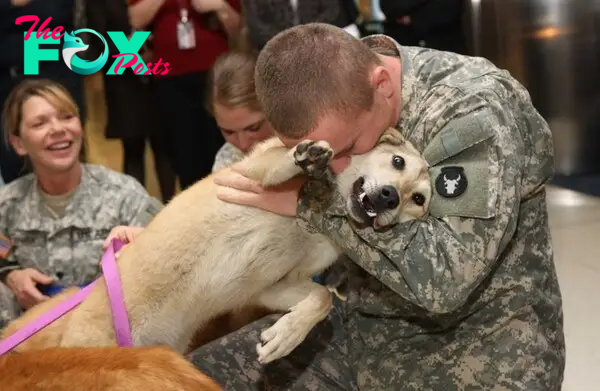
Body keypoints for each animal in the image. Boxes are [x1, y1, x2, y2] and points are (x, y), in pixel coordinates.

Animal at [1, 130, 432, 366]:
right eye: (396, 161)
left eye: (420, 200)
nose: (391, 197)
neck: (316, 218)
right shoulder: (250, 173)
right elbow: (280, 162)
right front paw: (306, 158)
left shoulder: (271, 287)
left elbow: (322, 298)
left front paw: (286, 335)